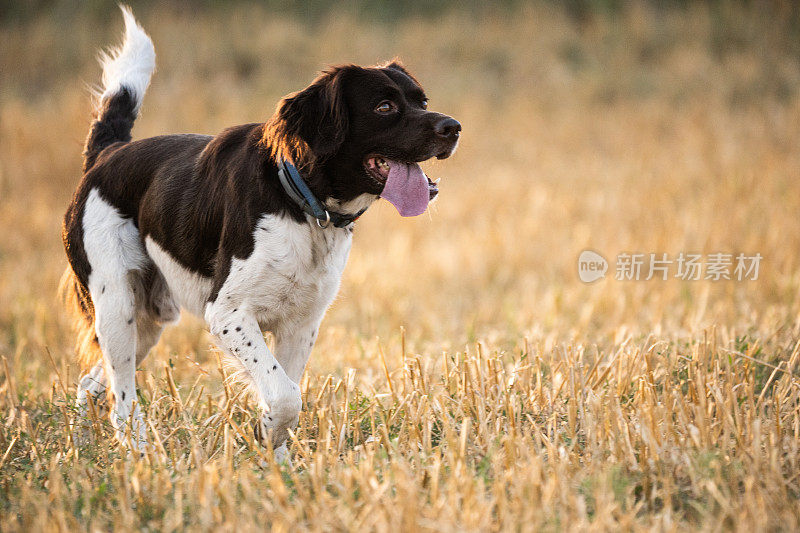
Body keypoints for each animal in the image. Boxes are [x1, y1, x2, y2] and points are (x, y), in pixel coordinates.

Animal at [61, 7, 462, 458]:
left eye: (422, 101)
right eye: (385, 106)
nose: (453, 127)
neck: (303, 203)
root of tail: (107, 154)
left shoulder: (301, 323)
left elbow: (287, 389)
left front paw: (277, 458)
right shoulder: (227, 314)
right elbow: (285, 394)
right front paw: (267, 435)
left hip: (147, 318)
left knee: (92, 383)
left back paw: (81, 446)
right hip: (116, 303)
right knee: (122, 397)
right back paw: (140, 453)